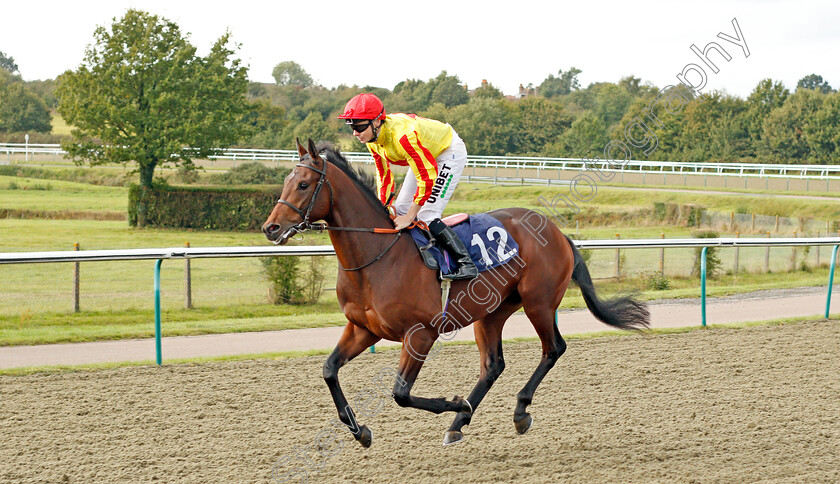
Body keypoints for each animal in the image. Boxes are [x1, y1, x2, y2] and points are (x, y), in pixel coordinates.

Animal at [262, 139, 648, 446]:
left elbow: (400, 393)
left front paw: (456, 402)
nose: (271, 228)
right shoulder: (363, 329)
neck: (377, 258)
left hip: (538, 302)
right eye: (286, 181)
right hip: (492, 312)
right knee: (493, 365)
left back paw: (518, 411)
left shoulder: (420, 334)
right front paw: (360, 431)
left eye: (303, 184)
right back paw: (459, 423)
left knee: (553, 348)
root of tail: (557, 232)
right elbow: (329, 370)